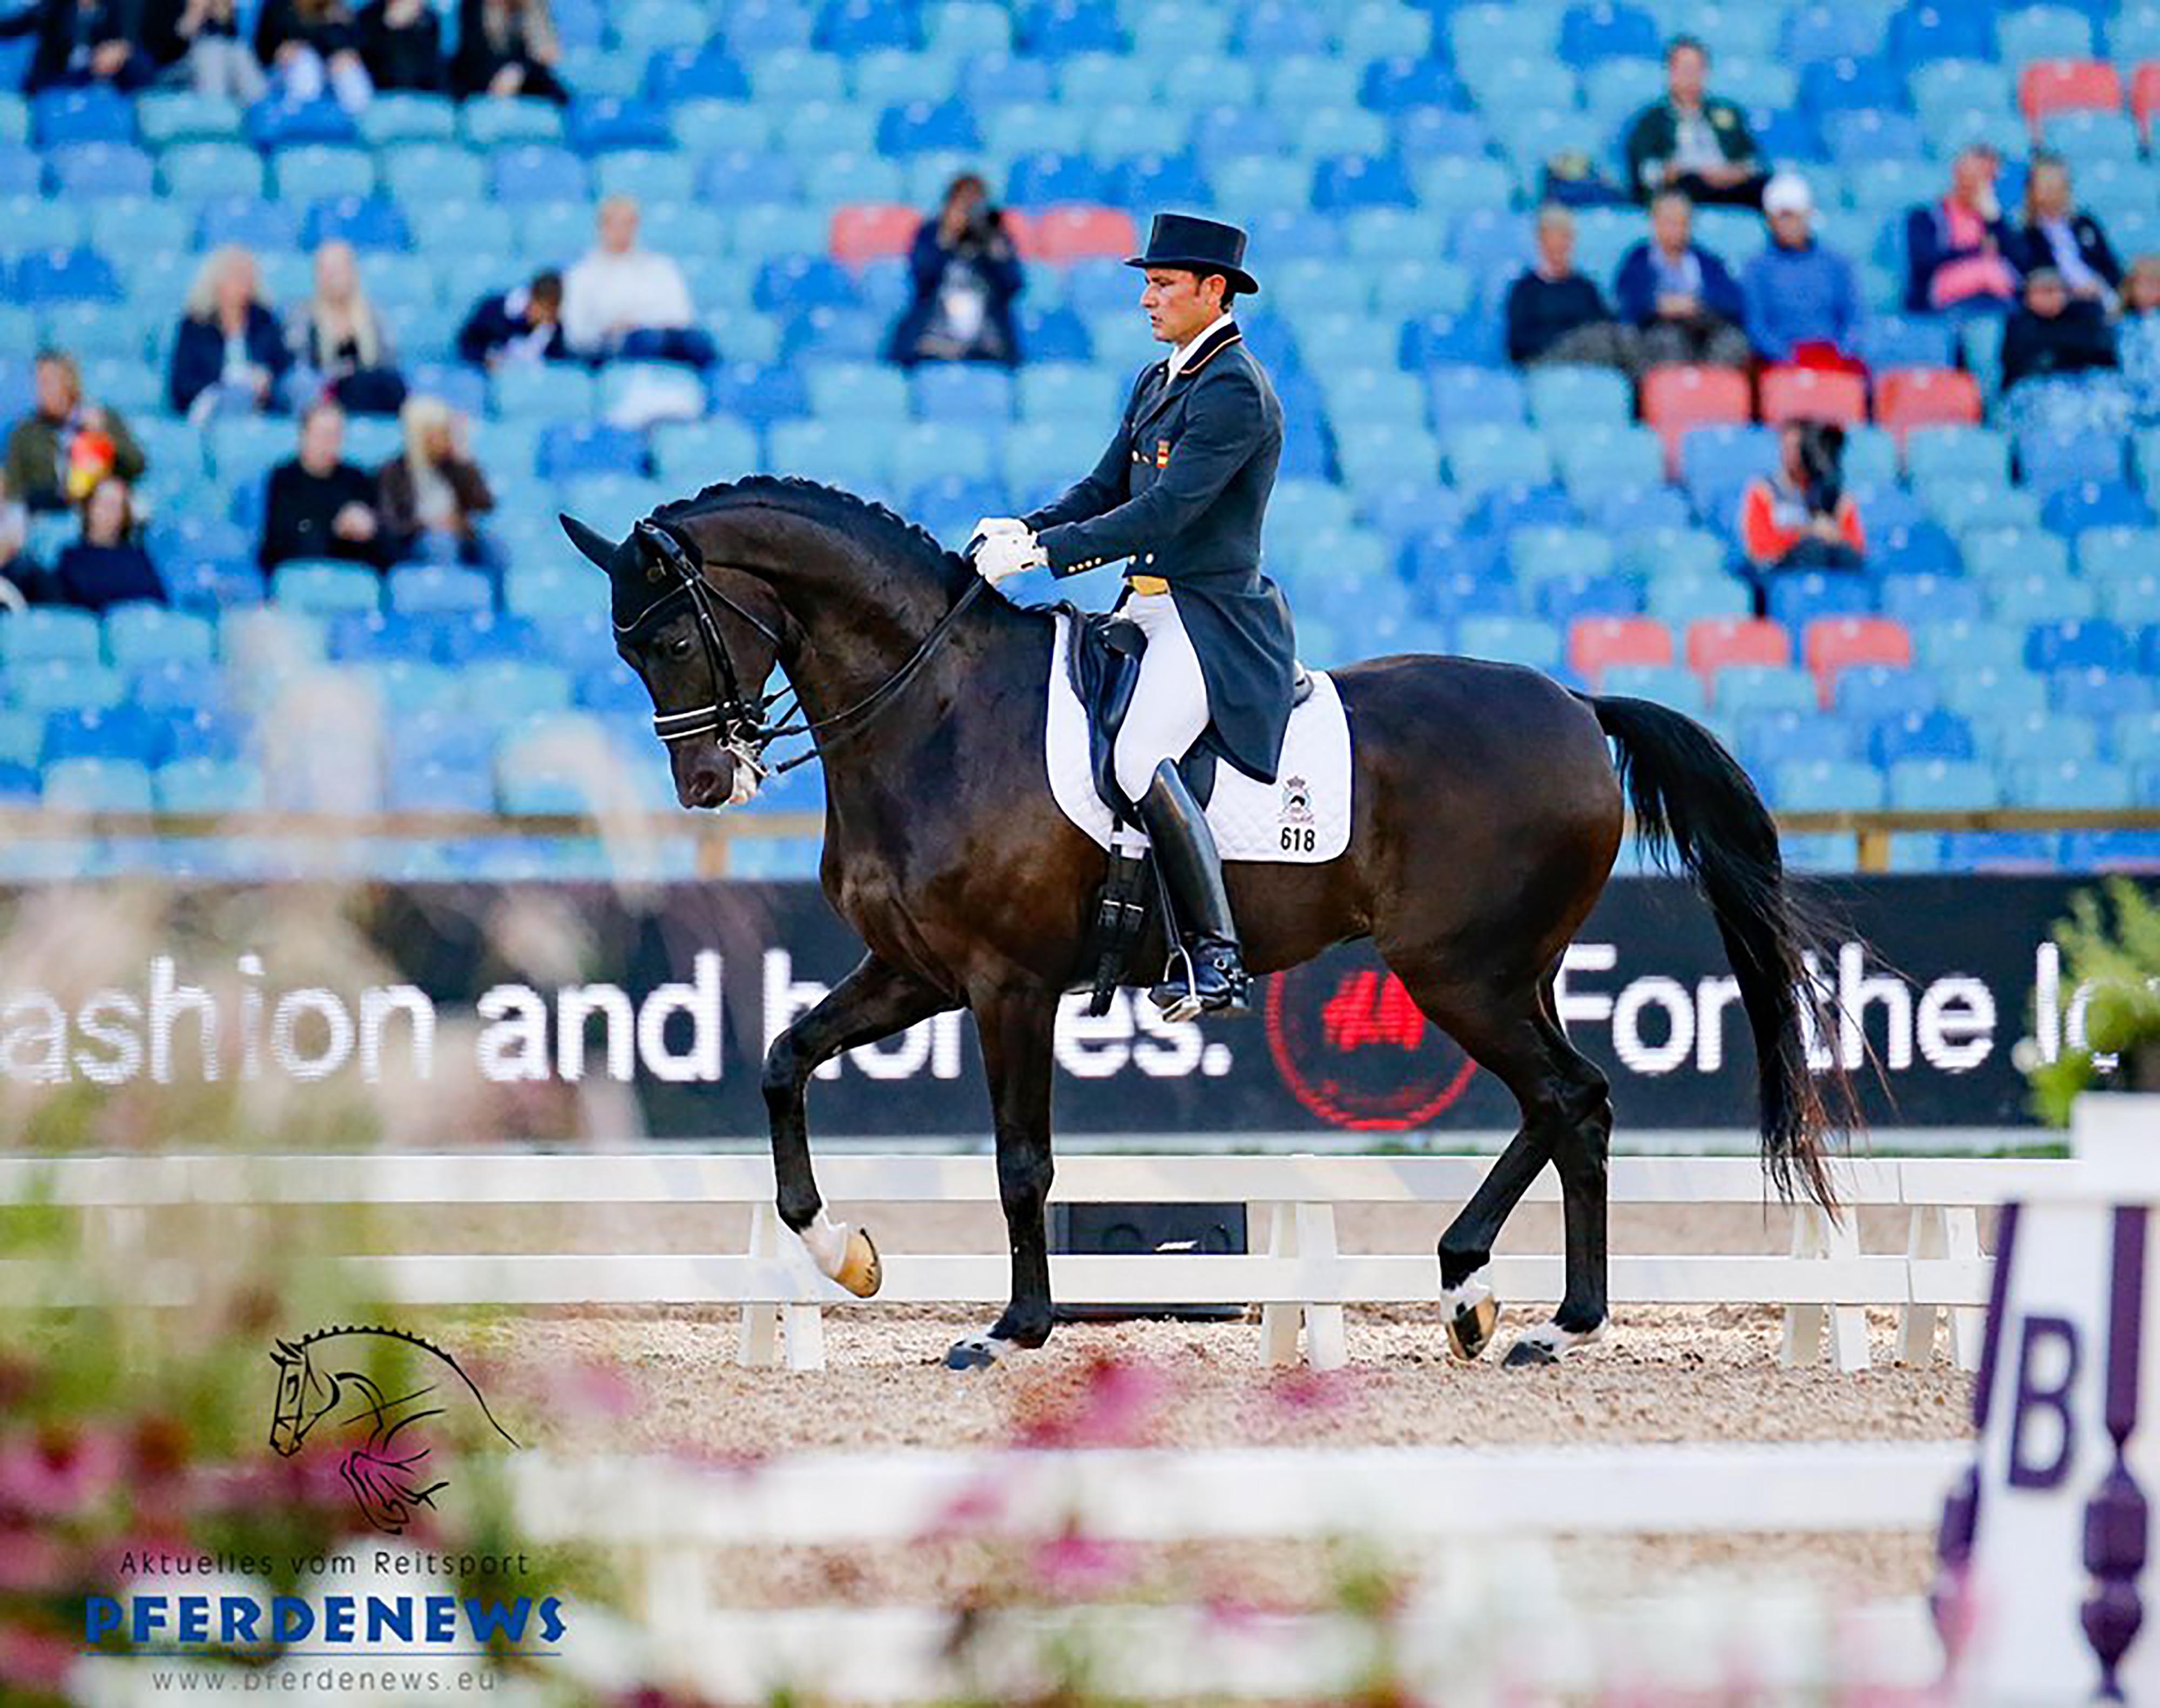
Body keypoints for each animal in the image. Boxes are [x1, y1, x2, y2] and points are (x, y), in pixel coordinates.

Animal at [557, 481, 1840, 1373]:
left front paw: (1014, 1328)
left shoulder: (1008, 983)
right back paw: (1509, 1304)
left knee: (1567, 1096)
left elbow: (1021, 1161)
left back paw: (1521, 1305)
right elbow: (784, 1062)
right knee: (1571, 1106)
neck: (938, 710)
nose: (709, 783)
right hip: (1504, 971)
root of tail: (1576, 701)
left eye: (669, 639)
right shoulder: (915, 970)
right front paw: (847, 1256)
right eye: (627, 649)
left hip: (1458, 973)